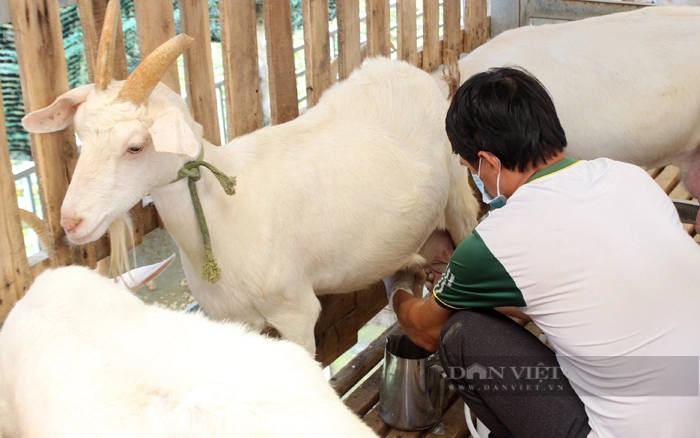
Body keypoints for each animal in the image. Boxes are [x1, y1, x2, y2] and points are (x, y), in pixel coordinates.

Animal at [21, 0, 482, 354]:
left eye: (135, 146)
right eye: (80, 134)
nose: (71, 222)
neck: (223, 214)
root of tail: (418, 75)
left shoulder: (294, 310)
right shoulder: (236, 320)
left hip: (459, 201)